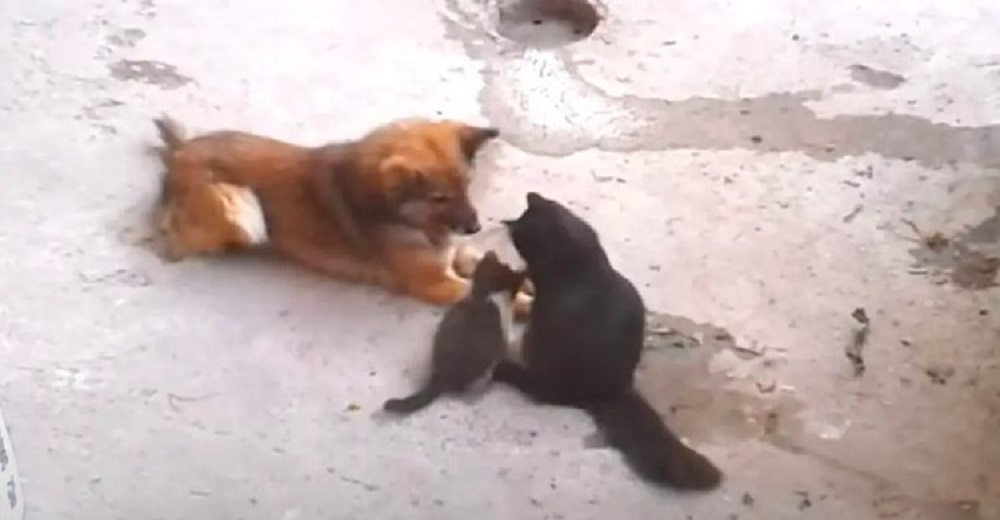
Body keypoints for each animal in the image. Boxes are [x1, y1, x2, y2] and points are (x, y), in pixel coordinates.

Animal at [148, 116, 508, 306]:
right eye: (439, 198)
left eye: (467, 185)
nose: (475, 227)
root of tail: (182, 151)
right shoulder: (436, 284)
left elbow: (477, 260)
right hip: (241, 207)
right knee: (170, 239)